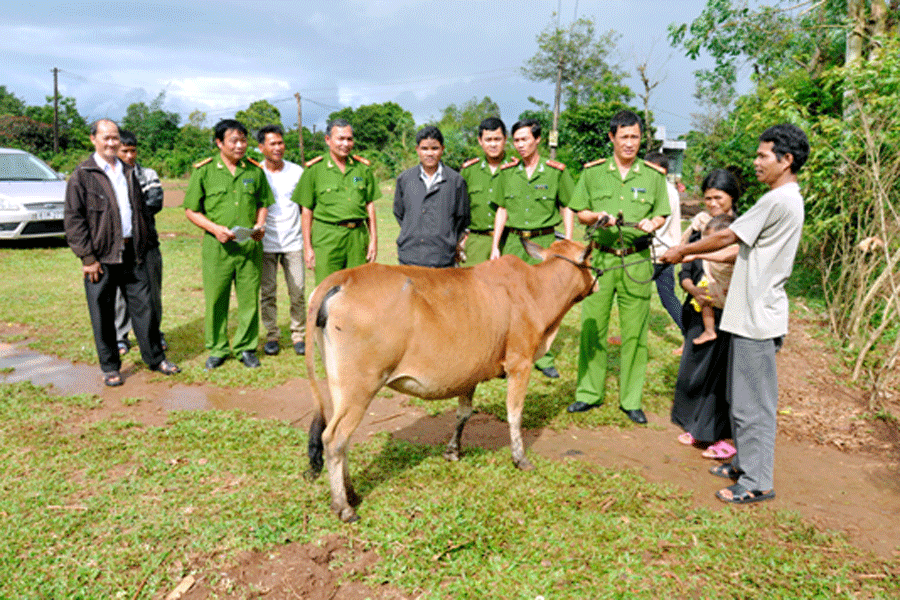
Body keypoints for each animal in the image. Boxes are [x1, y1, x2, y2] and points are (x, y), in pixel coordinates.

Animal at [306, 238, 596, 520]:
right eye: (591, 257)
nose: (598, 279)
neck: (534, 288)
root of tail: (344, 277)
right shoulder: (520, 363)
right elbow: (514, 414)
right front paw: (520, 459)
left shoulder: (469, 373)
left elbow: (464, 413)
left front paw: (453, 450)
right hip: (360, 387)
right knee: (334, 439)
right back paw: (344, 506)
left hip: (341, 387)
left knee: (343, 438)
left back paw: (351, 493)